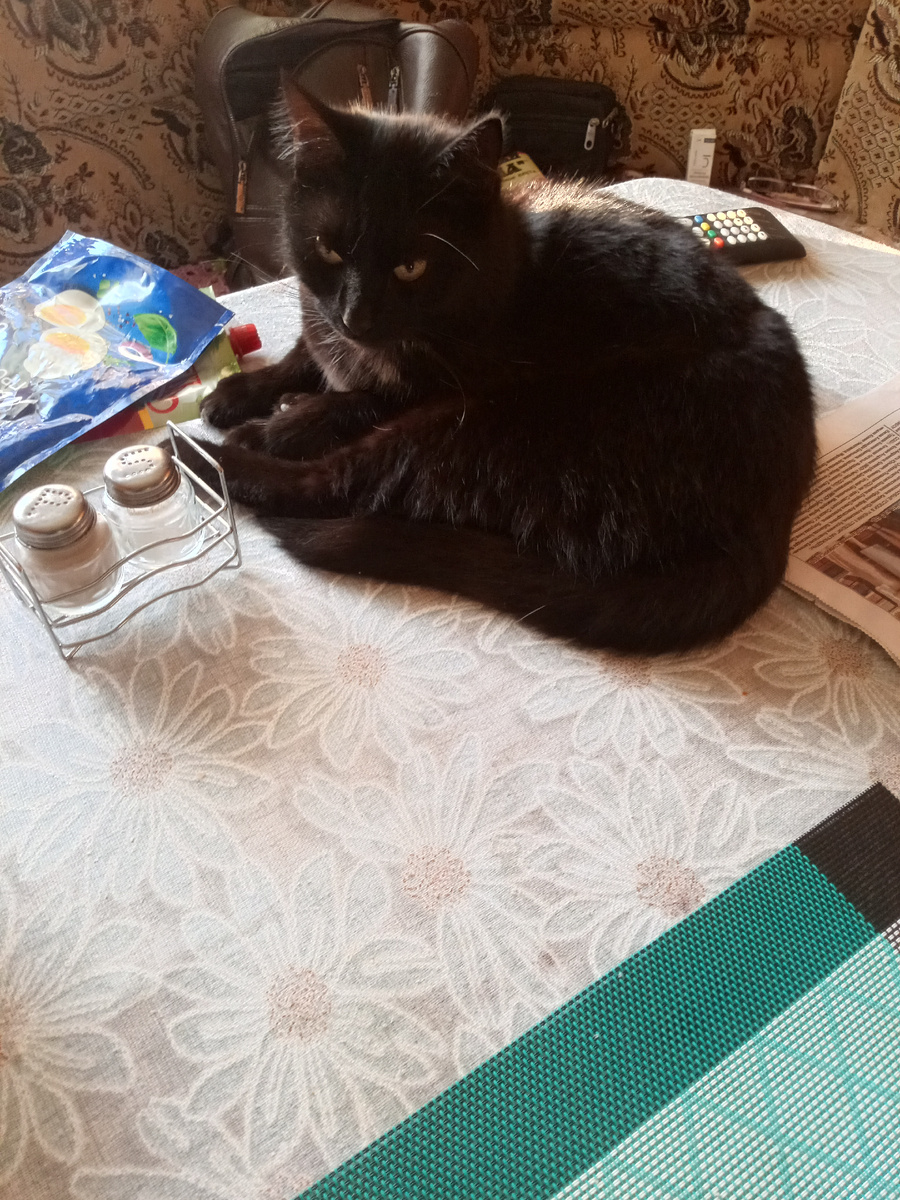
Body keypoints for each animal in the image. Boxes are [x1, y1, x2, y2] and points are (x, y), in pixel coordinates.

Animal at [195, 82, 816, 654]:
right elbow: (304, 350)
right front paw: (240, 391)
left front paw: (276, 424)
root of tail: (775, 515)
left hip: (484, 421)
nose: (356, 316)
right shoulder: (320, 319)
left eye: (411, 267)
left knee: (331, 484)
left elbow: (352, 400)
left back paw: (206, 457)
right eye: (329, 250)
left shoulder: (425, 390)